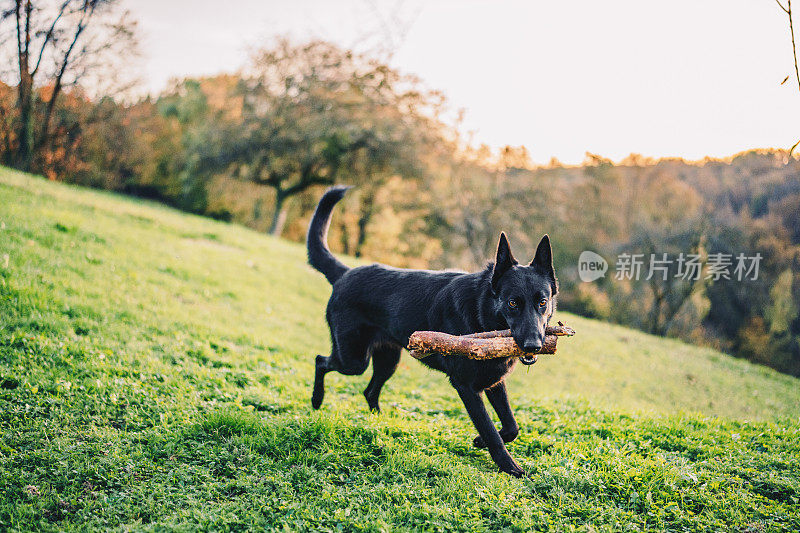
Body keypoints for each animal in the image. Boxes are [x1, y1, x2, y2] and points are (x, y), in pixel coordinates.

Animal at [306, 185, 556, 476]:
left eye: (542, 302)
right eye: (513, 303)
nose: (533, 346)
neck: (481, 315)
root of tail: (345, 274)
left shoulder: (493, 379)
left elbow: (511, 426)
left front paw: (479, 442)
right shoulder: (466, 386)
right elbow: (491, 429)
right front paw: (509, 466)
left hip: (388, 359)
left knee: (369, 391)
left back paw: (380, 423)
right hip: (354, 360)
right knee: (321, 361)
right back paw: (316, 400)